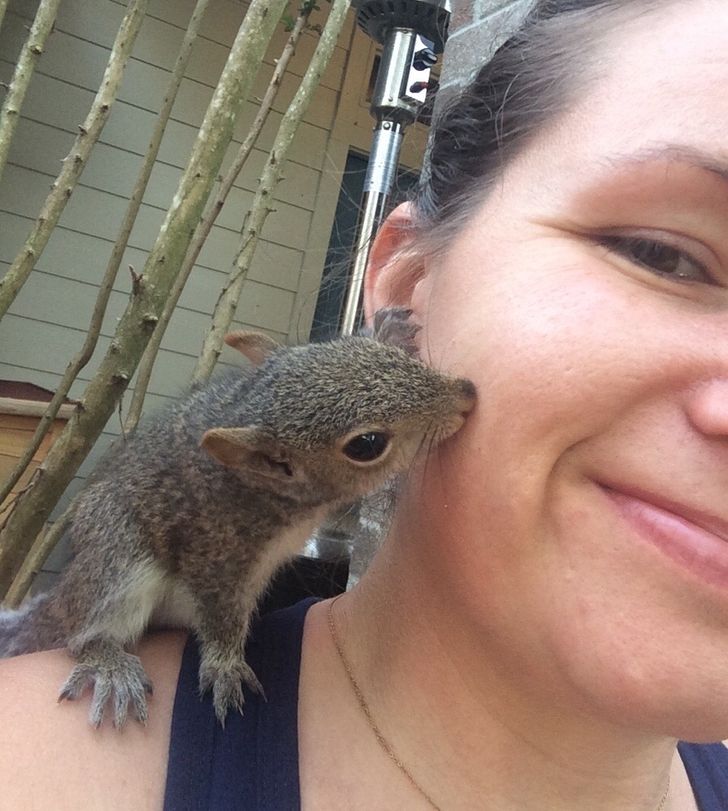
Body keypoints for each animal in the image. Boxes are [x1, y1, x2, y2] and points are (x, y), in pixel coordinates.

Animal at [0, 310, 474, 728]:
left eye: (370, 351)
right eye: (367, 444)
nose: (466, 393)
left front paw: (390, 326)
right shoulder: (217, 547)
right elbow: (221, 612)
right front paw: (226, 666)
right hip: (117, 556)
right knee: (80, 631)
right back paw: (107, 661)